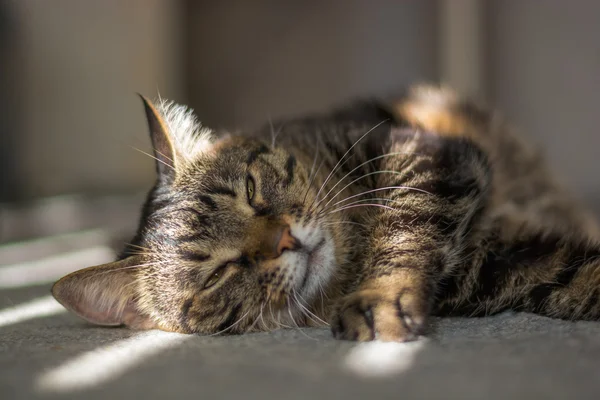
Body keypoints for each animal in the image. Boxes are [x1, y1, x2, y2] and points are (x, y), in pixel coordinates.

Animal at [50, 84, 600, 340]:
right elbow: (579, 279)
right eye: (218, 273)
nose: (285, 240)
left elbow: (407, 219)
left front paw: (382, 294)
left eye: (251, 190)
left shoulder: (429, 152)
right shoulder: (503, 267)